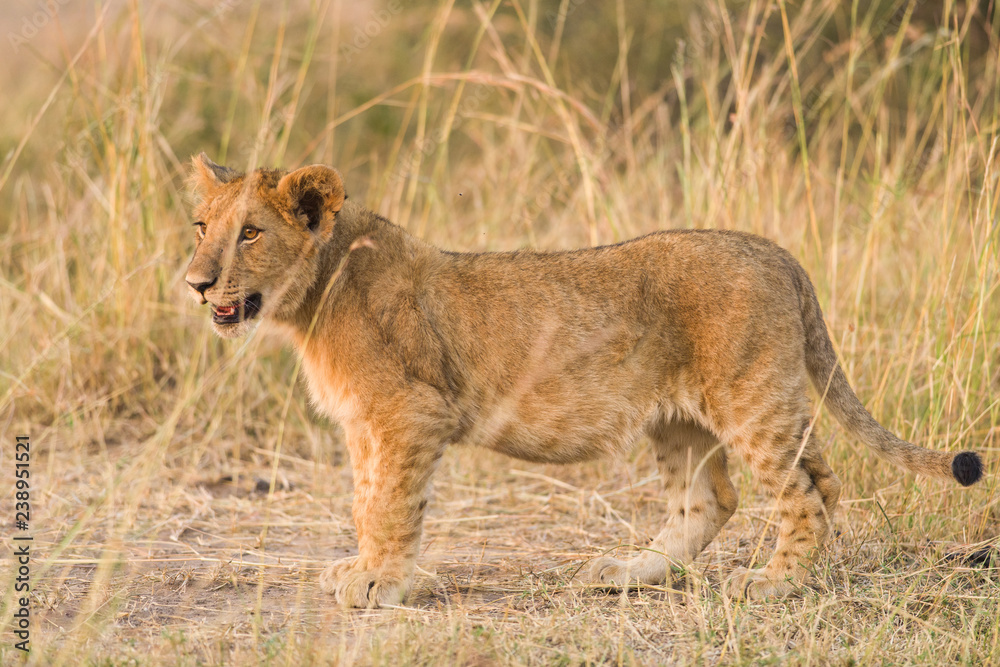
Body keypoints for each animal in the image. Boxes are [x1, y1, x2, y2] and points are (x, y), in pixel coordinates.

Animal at [185, 153, 983, 608]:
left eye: (250, 233)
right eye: (200, 226)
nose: (196, 283)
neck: (311, 296)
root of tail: (776, 251)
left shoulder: (409, 413)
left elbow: (390, 505)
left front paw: (382, 583)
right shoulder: (365, 423)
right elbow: (364, 500)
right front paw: (369, 568)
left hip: (751, 399)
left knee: (808, 488)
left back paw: (776, 583)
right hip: (688, 415)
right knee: (718, 497)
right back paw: (629, 572)